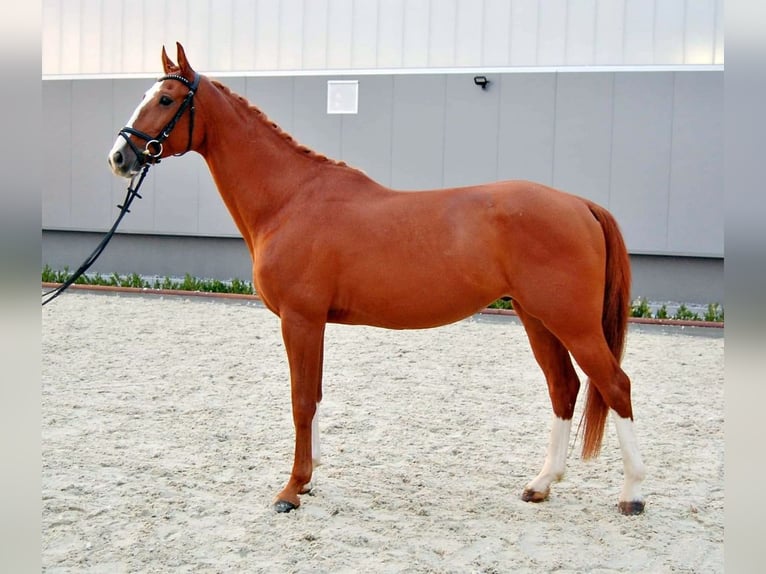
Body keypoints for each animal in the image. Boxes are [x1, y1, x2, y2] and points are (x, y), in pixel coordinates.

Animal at [109, 42, 648, 516]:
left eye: (166, 99)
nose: (120, 156)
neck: (290, 199)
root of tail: (579, 204)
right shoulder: (313, 323)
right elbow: (314, 395)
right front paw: (311, 477)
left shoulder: (299, 320)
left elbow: (300, 401)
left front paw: (291, 490)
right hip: (537, 318)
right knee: (564, 388)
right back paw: (541, 484)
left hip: (572, 322)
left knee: (615, 385)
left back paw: (633, 494)